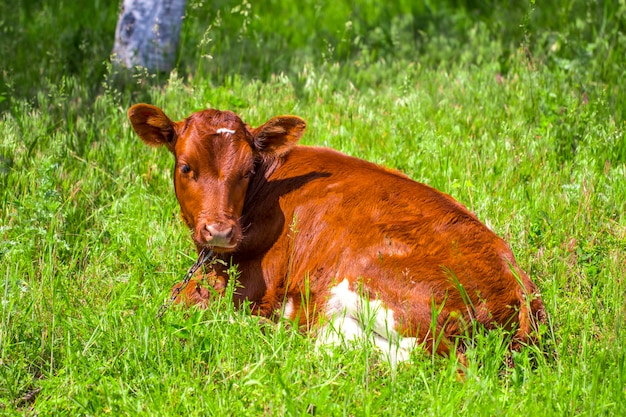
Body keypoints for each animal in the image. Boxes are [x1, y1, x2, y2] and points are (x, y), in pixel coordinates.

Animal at [129, 103, 544, 360]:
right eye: (186, 167)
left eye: (246, 171)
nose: (220, 231)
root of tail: (519, 284)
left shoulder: (249, 286)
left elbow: (178, 303)